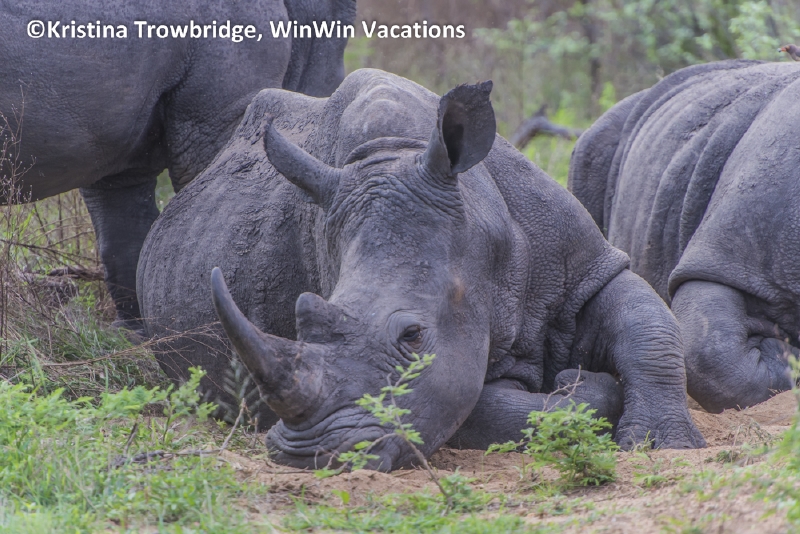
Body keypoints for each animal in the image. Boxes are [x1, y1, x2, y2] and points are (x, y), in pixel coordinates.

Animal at [138, 69, 704, 470]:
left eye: (412, 335)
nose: (309, 455)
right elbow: (491, 408)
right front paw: (581, 386)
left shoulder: (584, 267)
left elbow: (647, 326)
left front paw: (662, 443)